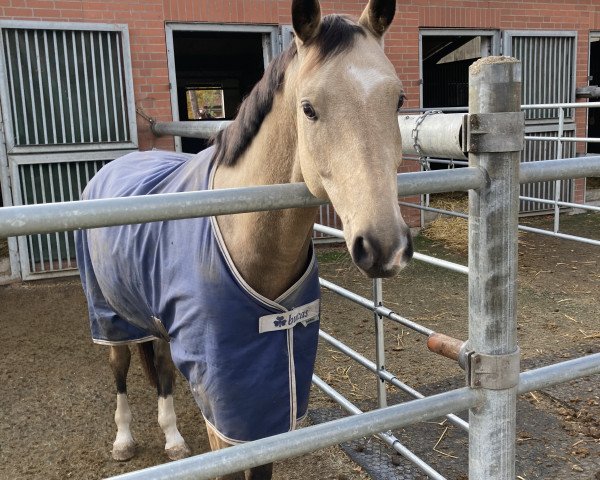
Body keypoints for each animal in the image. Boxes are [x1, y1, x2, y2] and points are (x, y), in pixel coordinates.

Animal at [75, 1, 412, 478]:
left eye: (397, 99)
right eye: (308, 108)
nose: (385, 246)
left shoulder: (267, 399)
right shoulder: (225, 411)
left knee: (161, 369)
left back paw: (173, 439)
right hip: (109, 316)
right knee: (120, 370)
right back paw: (124, 440)